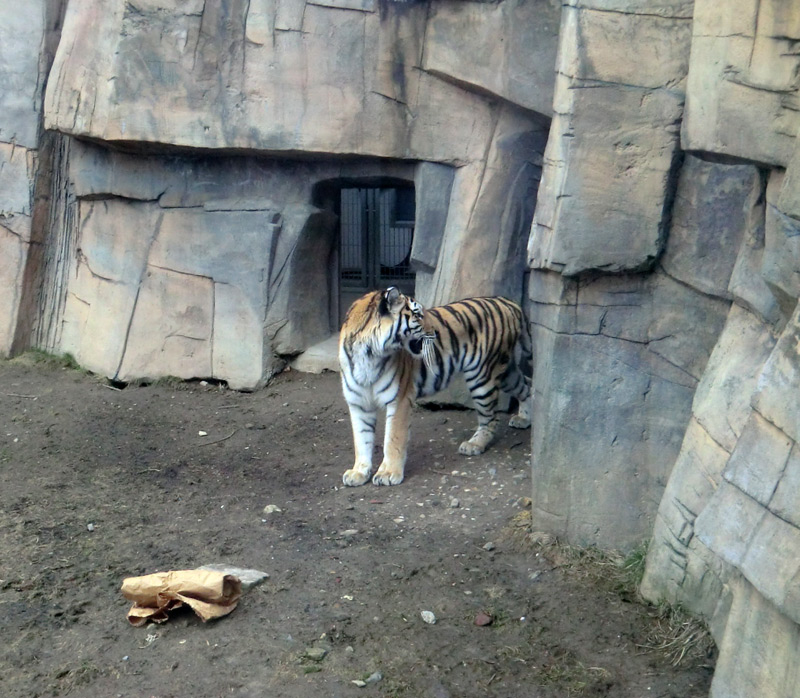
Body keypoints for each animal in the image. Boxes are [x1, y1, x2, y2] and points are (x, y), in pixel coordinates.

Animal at [338, 286, 532, 486]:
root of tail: (507, 301)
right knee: (527, 384)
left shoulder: (399, 400)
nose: (436, 332)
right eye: (417, 315)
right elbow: (362, 440)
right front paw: (358, 472)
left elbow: (393, 440)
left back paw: (474, 444)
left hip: (482, 376)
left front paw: (388, 473)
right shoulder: (359, 403)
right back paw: (524, 419)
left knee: (491, 418)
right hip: (505, 372)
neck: (367, 354)